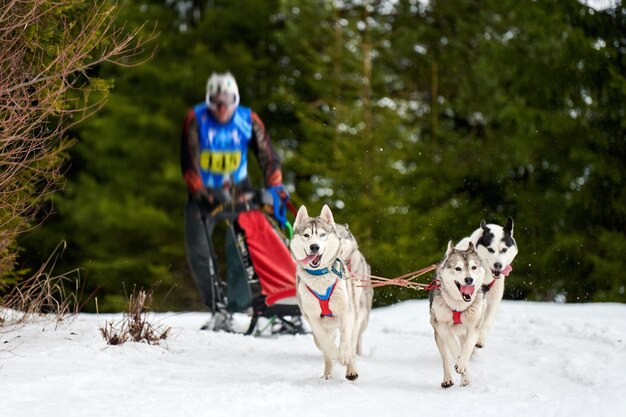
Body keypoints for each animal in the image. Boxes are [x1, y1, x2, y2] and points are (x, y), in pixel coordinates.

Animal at [292, 203, 372, 378]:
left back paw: (351, 369)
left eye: (322, 234)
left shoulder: (347, 312)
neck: (320, 277)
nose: (314, 247)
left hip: (360, 312)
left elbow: (346, 337)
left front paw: (344, 355)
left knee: (353, 339)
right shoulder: (313, 317)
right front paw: (334, 353)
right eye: (306, 235)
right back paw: (327, 374)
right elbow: (324, 341)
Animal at [426, 240, 486, 386]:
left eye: (474, 267)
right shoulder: (440, 323)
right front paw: (458, 357)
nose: (469, 279)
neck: (458, 305)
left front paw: (462, 363)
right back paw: (448, 379)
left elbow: (468, 346)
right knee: (445, 358)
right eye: (458, 268)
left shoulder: (474, 326)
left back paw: (465, 379)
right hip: (438, 336)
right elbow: (452, 343)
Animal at [454, 218, 516, 348]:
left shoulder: (493, 301)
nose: (498, 265)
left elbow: (486, 322)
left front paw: (480, 339)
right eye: (490, 249)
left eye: (504, 250)